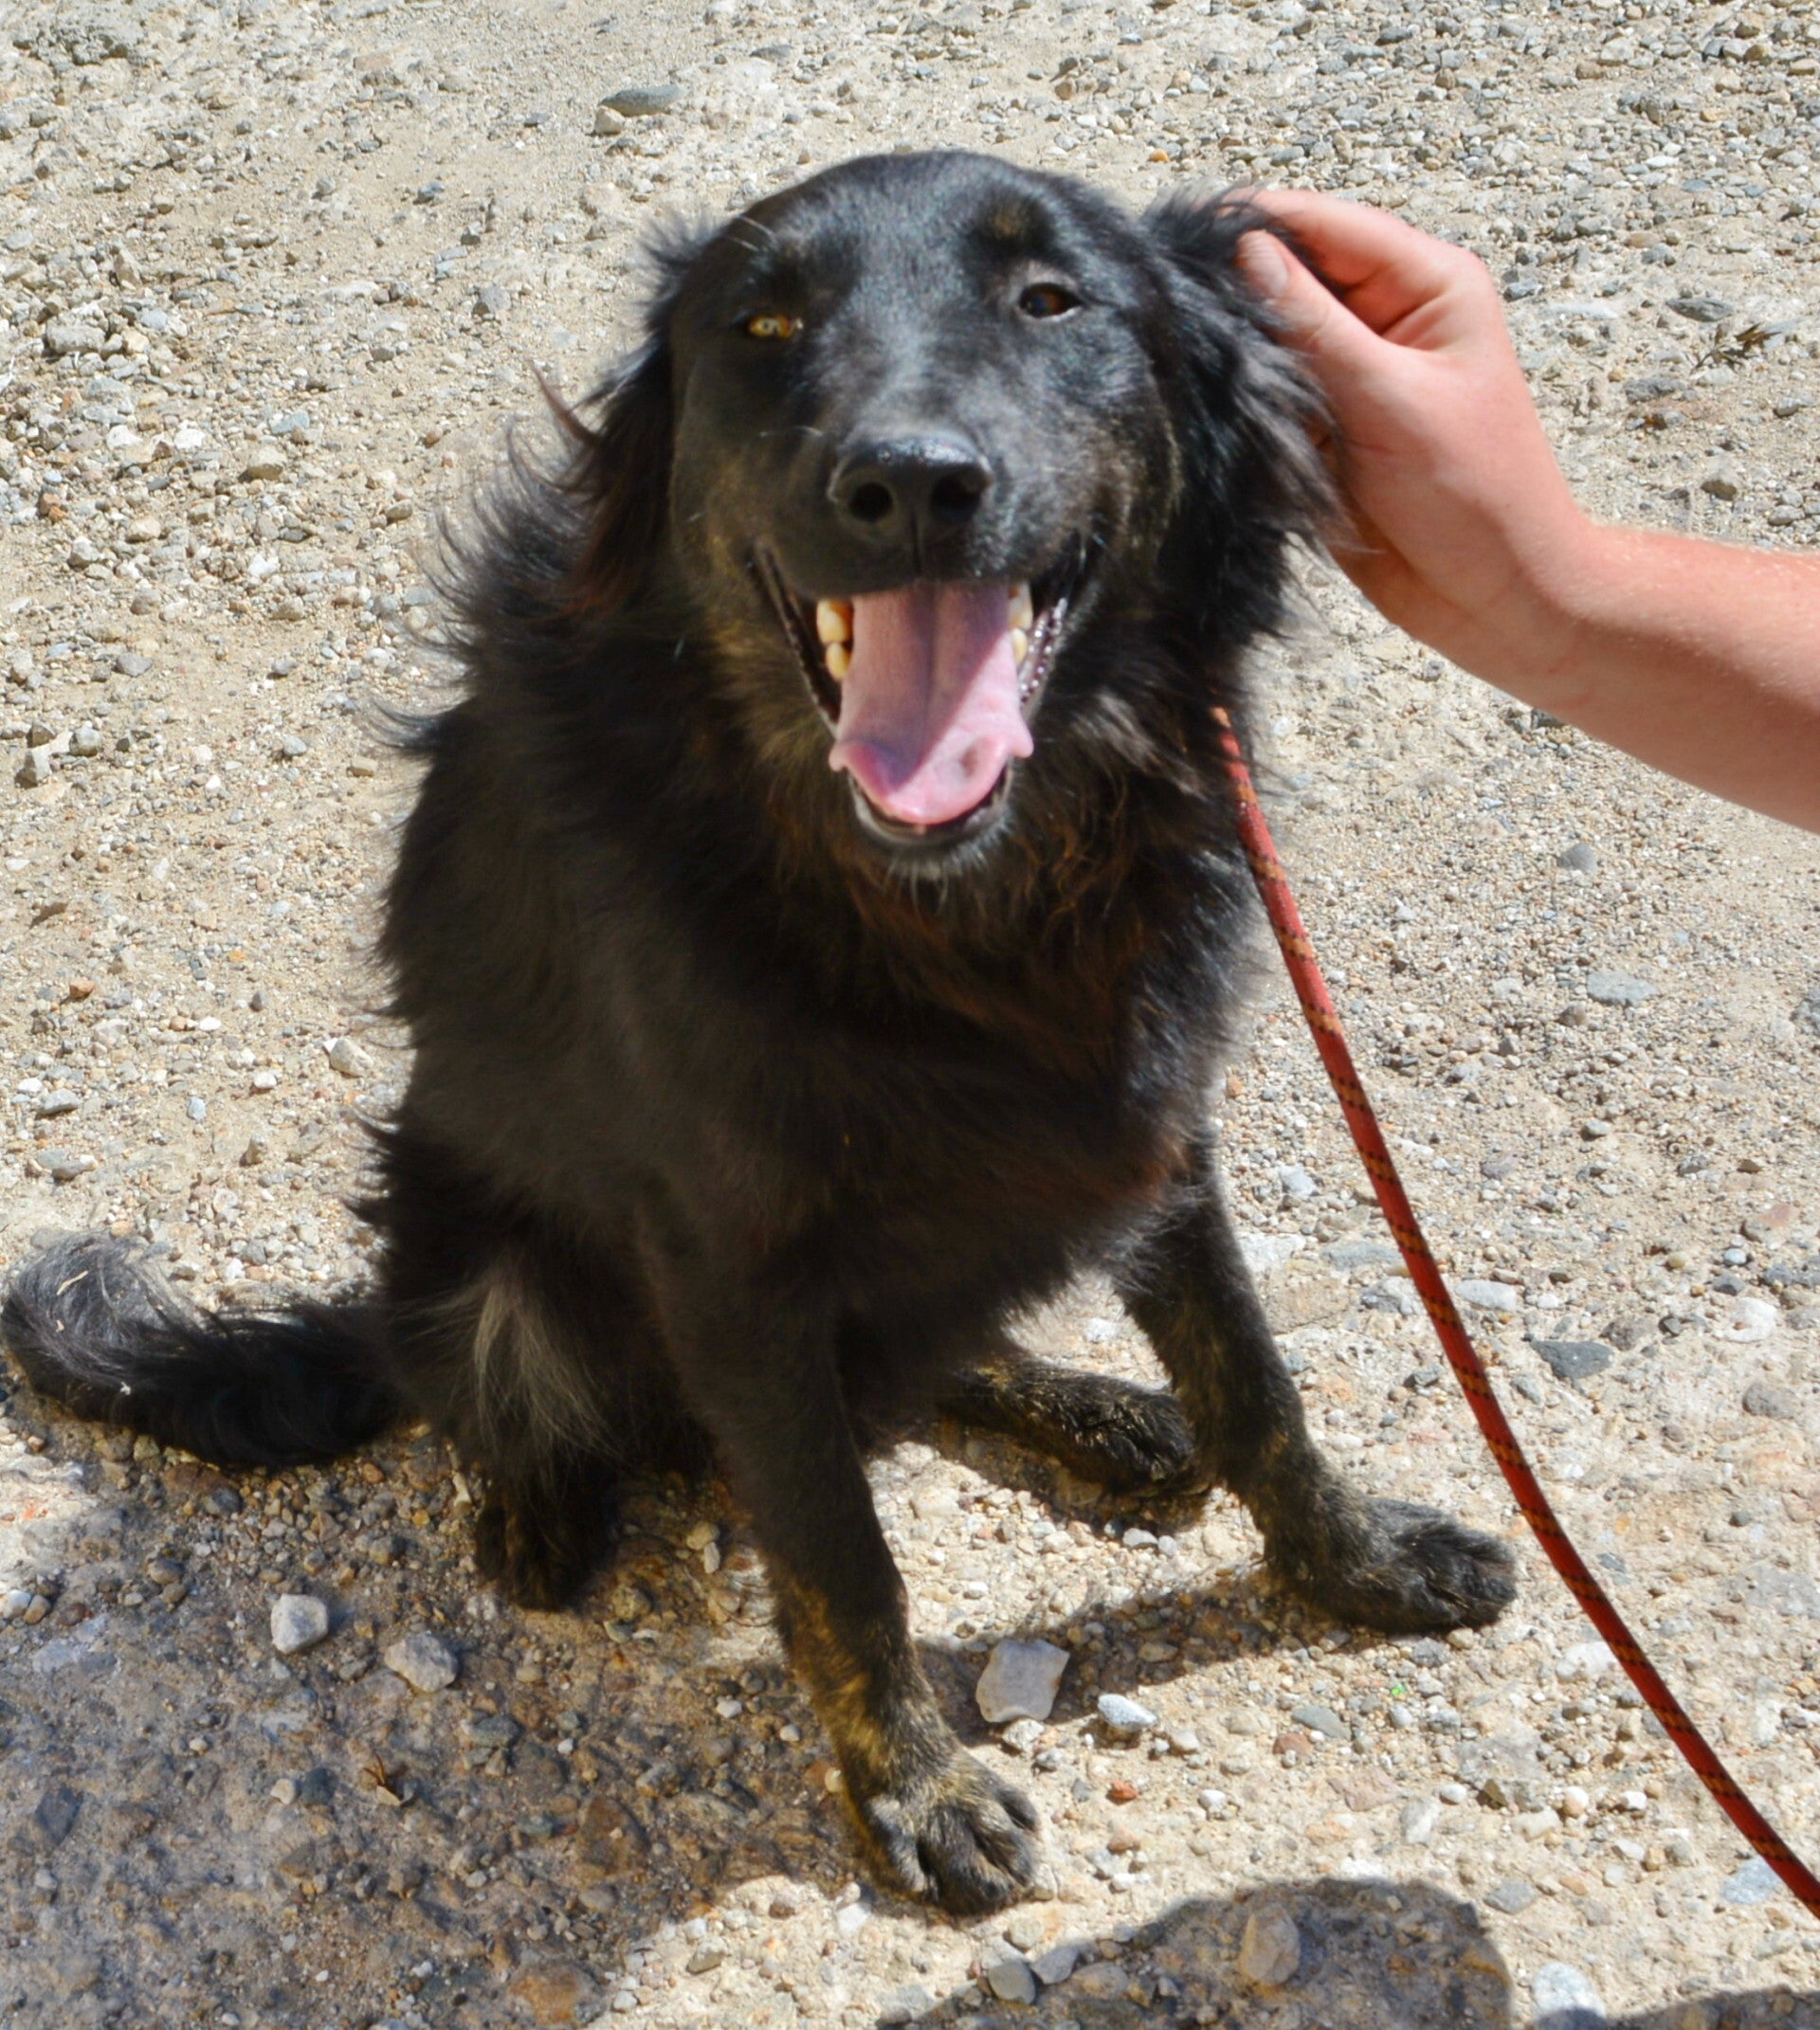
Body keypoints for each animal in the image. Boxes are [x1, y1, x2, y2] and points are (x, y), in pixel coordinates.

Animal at [2, 152, 1514, 1914]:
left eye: (1050, 298)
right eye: (765, 326)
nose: (911, 484)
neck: (954, 909)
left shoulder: (1151, 1125)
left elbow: (1254, 1382)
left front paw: (1358, 1558)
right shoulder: (729, 1259)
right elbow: (841, 1554)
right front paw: (920, 1787)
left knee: (945, 1344)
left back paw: (1104, 1410)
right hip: (466, 1222)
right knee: (514, 1378)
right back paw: (537, 1505)